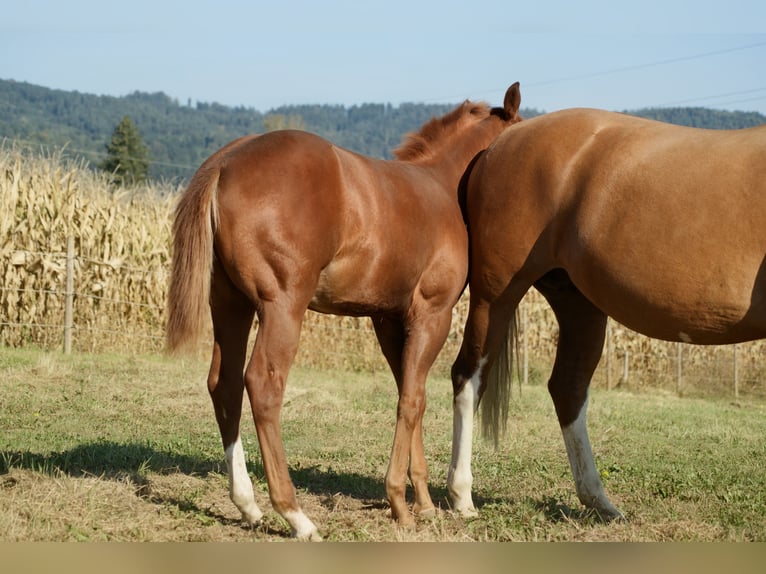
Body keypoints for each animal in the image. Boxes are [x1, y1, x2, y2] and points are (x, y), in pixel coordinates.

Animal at [165, 83, 522, 540]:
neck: (440, 187)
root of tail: (227, 161)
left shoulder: (388, 320)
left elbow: (412, 394)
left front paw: (423, 502)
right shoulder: (432, 313)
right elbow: (411, 401)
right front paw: (400, 503)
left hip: (231, 305)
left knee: (223, 384)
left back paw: (247, 505)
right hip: (282, 306)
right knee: (262, 385)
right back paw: (296, 515)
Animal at [448, 105, 766, 520]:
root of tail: (495, 147)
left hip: (578, 303)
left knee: (567, 388)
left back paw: (599, 501)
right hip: (496, 295)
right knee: (469, 379)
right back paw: (461, 495)